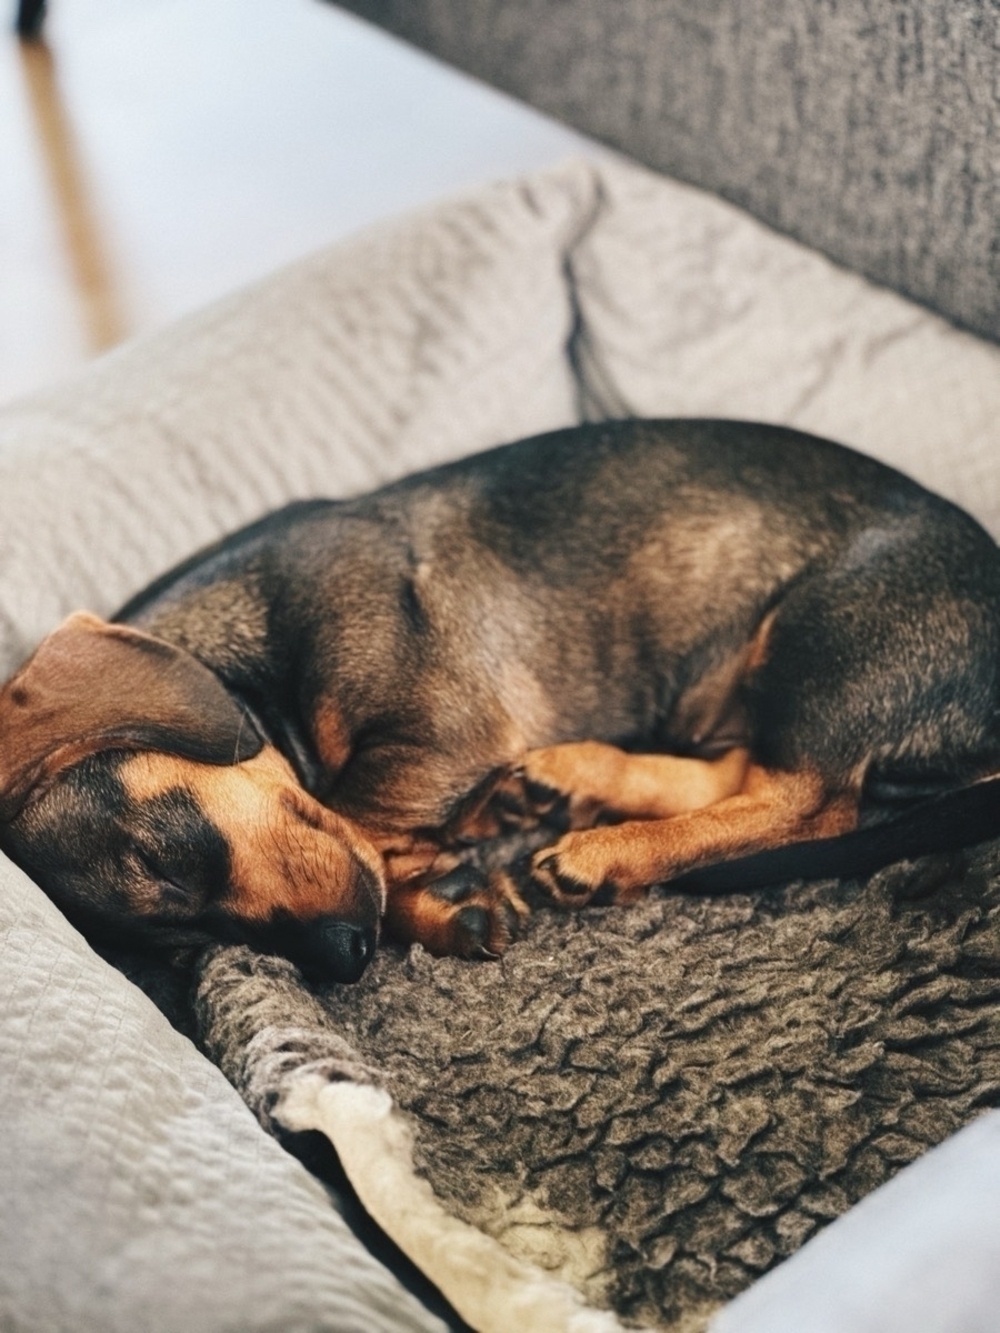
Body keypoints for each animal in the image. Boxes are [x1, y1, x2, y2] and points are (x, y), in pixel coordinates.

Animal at [1, 421, 1000, 986]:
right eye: (183, 946)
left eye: (163, 859)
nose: (342, 959)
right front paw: (450, 904)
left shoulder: (436, 734)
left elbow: (365, 823)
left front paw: (434, 876)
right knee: (743, 775)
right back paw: (572, 782)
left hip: (822, 633)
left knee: (807, 800)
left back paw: (601, 850)